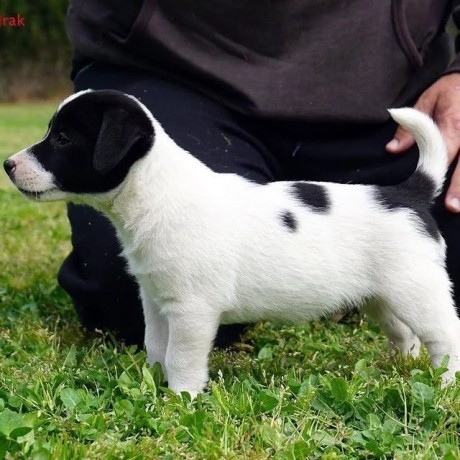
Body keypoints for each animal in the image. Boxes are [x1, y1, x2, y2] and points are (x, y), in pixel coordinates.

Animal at [4, 91, 460, 398]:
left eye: (63, 139)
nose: (8, 164)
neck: (156, 193)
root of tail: (409, 193)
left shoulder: (191, 312)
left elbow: (181, 358)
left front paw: (180, 398)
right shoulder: (156, 302)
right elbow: (156, 347)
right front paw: (152, 382)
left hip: (416, 292)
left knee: (445, 336)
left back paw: (444, 383)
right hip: (383, 297)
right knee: (404, 334)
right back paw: (398, 366)